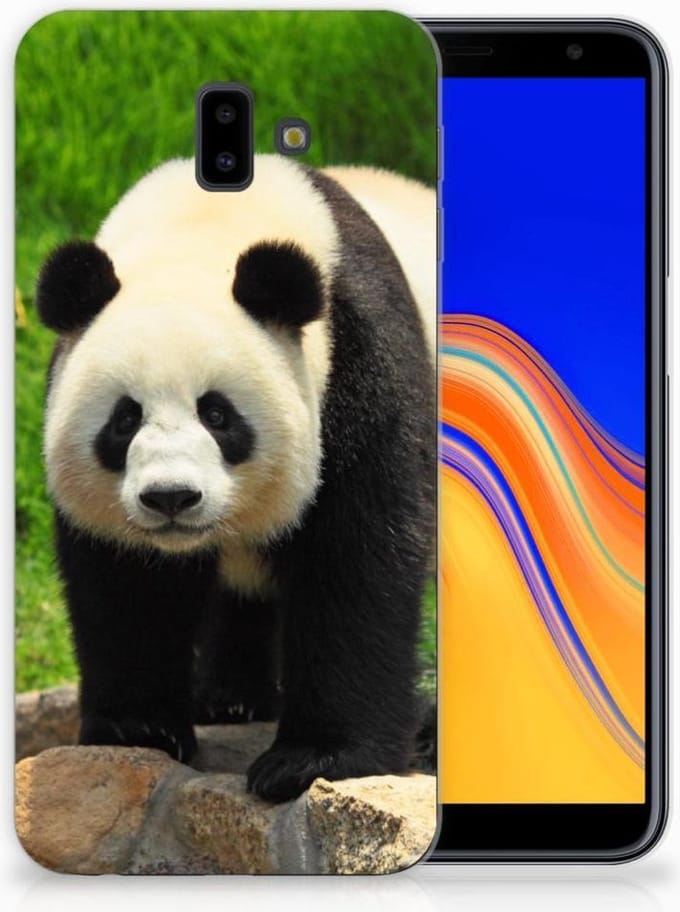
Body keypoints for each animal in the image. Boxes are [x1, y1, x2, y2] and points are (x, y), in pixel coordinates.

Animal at [36, 155, 435, 803]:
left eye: (218, 415)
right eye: (125, 419)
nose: (171, 498)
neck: (203, 229)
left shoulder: (360, 364)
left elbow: (357, 558)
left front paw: (313, 759)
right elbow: (127, 582)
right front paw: (138, 728)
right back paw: (230, 699)